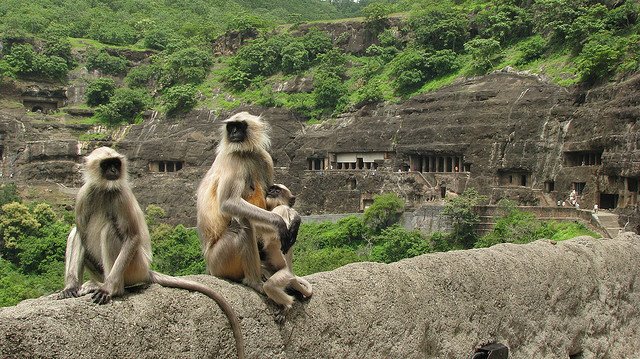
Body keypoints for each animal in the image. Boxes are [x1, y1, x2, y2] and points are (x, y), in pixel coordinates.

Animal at [60, 146, 245, 359]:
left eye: (116, 163)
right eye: (107, 165)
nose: (114, 171)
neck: (104, 189)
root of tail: (146, 270)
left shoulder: (121, 195)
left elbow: (132, 236)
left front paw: (108, 290)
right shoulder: (84, 194)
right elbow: (80, 231)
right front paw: (70, 287)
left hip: (134, 266)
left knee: (109, 231)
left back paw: (112, 288)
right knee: (78, 231)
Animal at [196, 113, 292, 296]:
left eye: (239, 126)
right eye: (231, 127)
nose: (233, 132)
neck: (246, 153)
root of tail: (209, 267)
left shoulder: (264, 157)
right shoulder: (233, 158)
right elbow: (229, 203)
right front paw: (279, 222)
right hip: (219, 261)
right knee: (243, 225)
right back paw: (254, 282)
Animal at [258, 184, 312, 322]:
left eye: (277, 190)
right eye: (271, 189)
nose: (271, 192)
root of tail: (291, 273)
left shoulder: (281, 209)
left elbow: (272, 233)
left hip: (284, 275)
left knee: (270, 286)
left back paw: (287, 305)